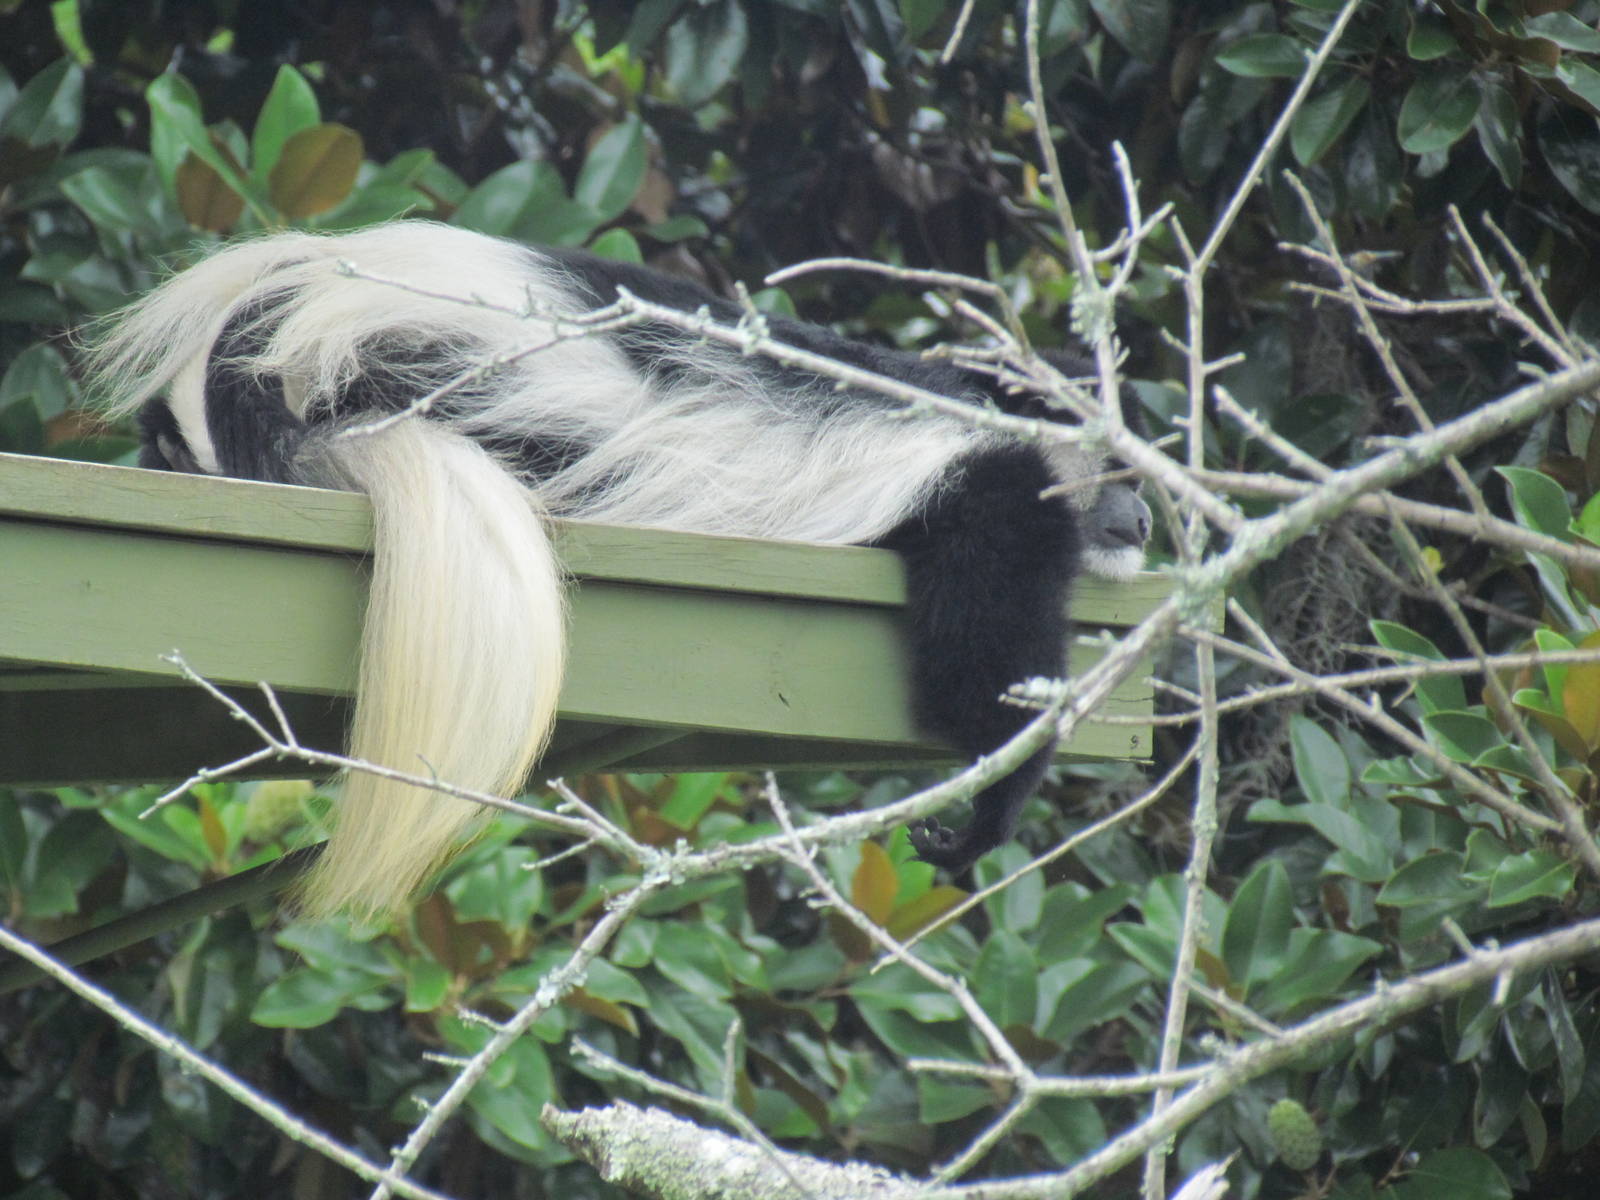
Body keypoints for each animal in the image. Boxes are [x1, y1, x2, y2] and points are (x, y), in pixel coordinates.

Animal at [87, 221, 1151, 919]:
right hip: (501, 385)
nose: (1141, 517)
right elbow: (989, 658)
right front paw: (986, 813)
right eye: (1123, 470)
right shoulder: (984, 491)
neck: (962, 403)